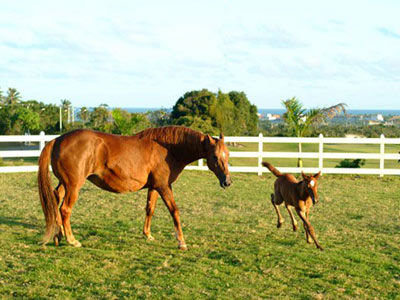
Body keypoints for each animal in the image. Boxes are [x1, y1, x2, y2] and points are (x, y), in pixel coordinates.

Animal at [38, 125, 231, 250]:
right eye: (215, 156)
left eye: (227, 154)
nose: (227, 182)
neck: (168, 149)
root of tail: (57, 140)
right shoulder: (164, 186)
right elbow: (174, 211)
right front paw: (181, 242)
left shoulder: (154, 187)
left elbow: (150, 209)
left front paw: (148, 234)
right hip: (74, 186)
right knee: (65, 209)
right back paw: (72, 240)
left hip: (65, 184)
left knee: (56, 199)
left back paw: (58, 236)